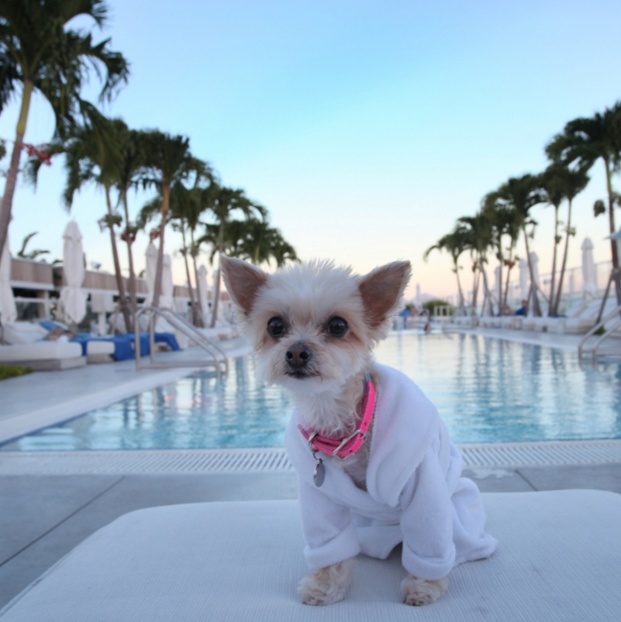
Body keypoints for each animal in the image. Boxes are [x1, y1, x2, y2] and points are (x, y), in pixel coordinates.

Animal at [220, 258, 496, 608]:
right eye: (275, 326)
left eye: (338, 326)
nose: (296, 352)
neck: (341, 424)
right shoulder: (318, 495)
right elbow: (329, 544)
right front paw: (326, 586)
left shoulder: (423, 487)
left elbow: (428, 539)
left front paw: (424, 585)